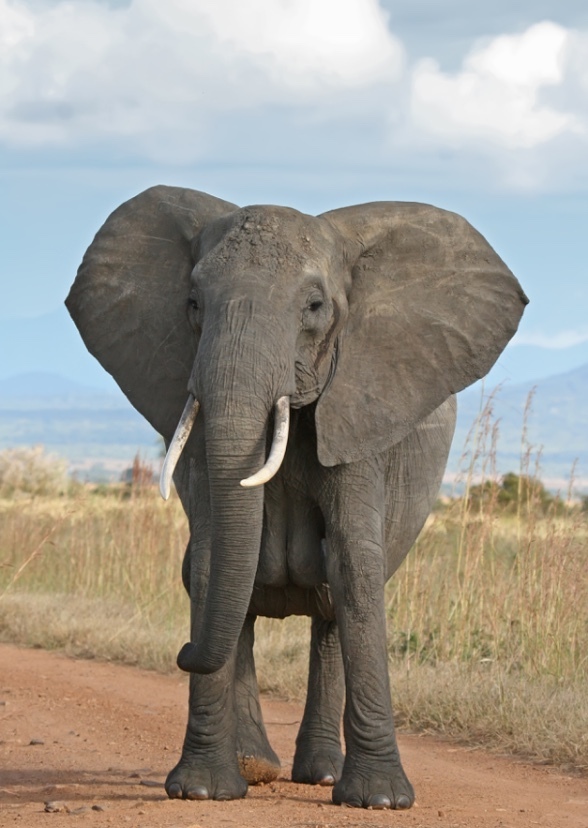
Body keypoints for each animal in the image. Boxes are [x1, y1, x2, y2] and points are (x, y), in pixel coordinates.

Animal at [66, 186, 527, 809]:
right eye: (193, 303)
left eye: (314, 306)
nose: (181, 652)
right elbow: (210, 562)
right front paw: (202, 791)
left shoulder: (361, 406)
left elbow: (355, 564)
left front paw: (380, 800)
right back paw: (256, 766)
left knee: (332, 603)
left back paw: (322, 776)